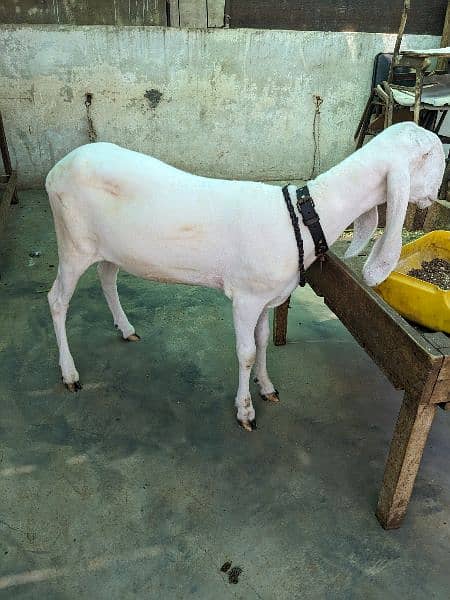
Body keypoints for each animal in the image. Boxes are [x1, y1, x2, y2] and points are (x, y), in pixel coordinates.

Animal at [45, 123, 442, 432]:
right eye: (430, 156)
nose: (435, 197)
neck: (302, 217)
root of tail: (57, 169)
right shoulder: (246, 297)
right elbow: (246, 352)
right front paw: (245, 411)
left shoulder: (268, 296)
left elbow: (263, 341)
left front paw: (266, 388)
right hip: (73, 243)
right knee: (57, 300)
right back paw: (69, 374)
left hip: (110, 247)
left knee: (107, 278)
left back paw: (125, 328)